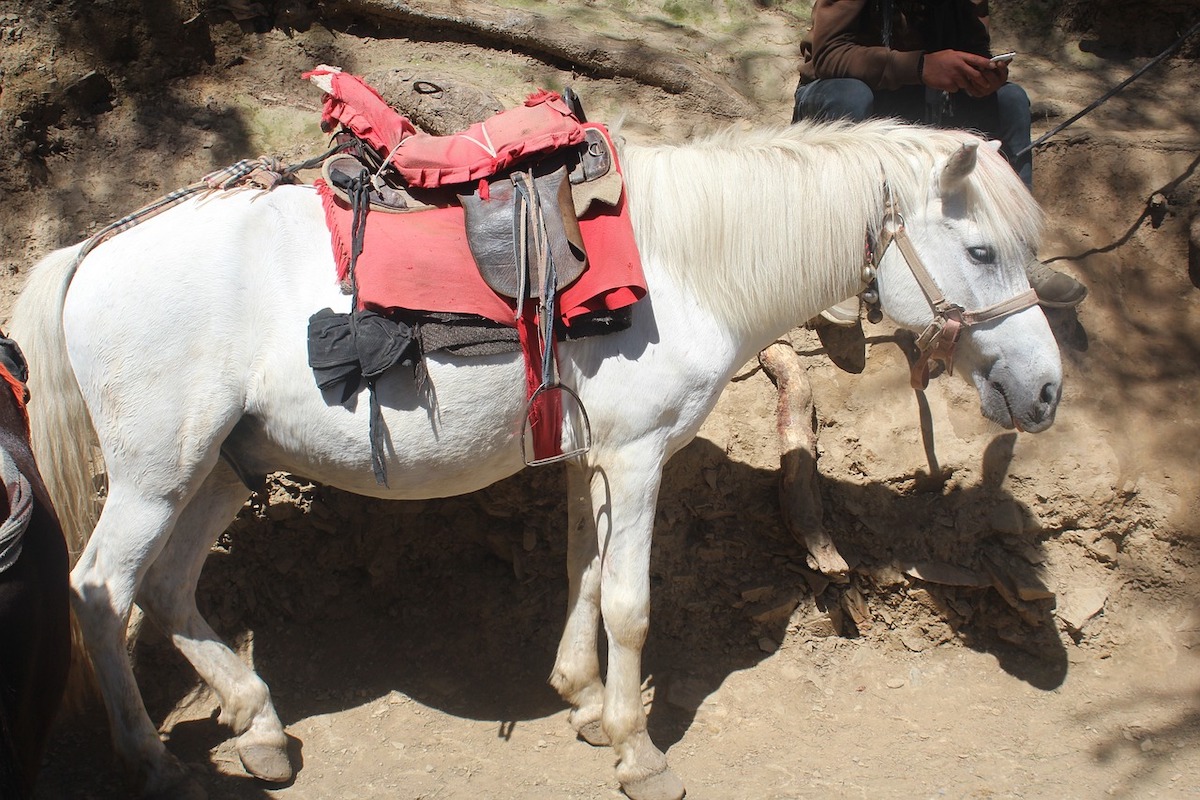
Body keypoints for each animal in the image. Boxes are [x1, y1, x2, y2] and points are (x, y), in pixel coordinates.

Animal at [7, 115, 1060, 796]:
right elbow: (631, 602)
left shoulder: (595, 462)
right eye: (979, 250)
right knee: (100, 589)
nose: (1047, 391)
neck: (685, 265)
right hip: (156, 476)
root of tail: (94, 249)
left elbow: (582, 575)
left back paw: (260, 727)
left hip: (222, 466)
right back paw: (150, 760)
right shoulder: (637, 459)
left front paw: (584, 703)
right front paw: (638, 749)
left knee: (168, 587)